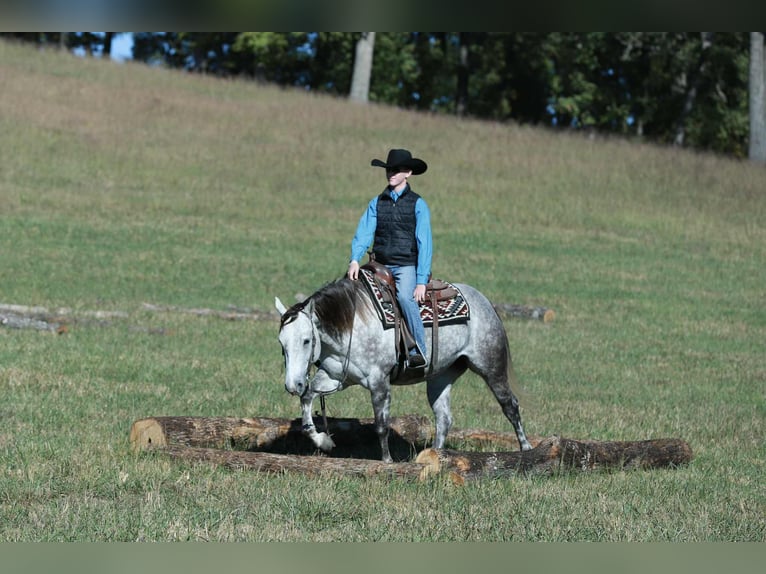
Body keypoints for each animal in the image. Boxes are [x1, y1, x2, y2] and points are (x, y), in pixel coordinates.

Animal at [275, 276, 533, 462]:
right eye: (281, 344)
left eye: (306, 340)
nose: (292, 385)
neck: (352, 325)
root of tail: (484, 301)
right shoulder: (335, 377)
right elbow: (307, 401)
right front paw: (324, 441)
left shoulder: (379, 381)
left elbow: (381, 426)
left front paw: (387, 461)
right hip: (440, 376)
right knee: (444, 418)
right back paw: (435, 456)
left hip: (490, 366)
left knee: (510, 406)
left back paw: (526, 448)